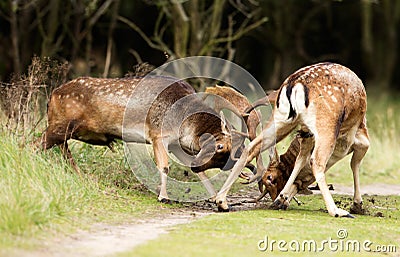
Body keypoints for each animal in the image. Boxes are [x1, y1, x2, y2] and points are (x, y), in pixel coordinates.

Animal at [217, 62, 370, 216]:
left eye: (271, 179)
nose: (276, 198)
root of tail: (295, 83)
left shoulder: (307, 134)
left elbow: (300, 160)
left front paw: (282, 198)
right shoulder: (357, 137)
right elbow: (355, 162)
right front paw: (357, 205)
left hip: (281, 118)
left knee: (251, 147)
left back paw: (221, 201)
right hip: (327, 122)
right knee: (317, 160)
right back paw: (336, 211)